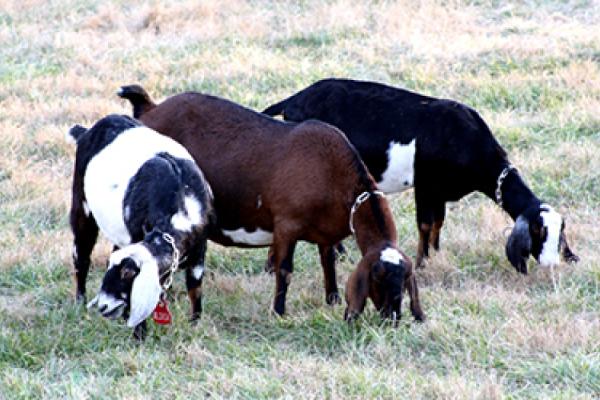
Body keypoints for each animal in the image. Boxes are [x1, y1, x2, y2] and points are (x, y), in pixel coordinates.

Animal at [67, 114, 214, 336]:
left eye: (128, 272)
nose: (103, 305)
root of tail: (87, 131)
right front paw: (140, 335)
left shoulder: (199, 248)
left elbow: (195, 287)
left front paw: (195, 324)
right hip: (81, 204)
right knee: (81, 255)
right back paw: (80, 302)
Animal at [117, 86, 424, 324]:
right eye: (378, 277)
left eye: (405, 280)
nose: (393, 318)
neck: (331, 170)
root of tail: (151, 110)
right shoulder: (287, 225)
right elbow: (285, 270)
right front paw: (278, 311)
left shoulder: (326, 232)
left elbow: (328, 263)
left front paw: (332, 299)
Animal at [264, 78, 580, 274]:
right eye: (538, 231)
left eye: (560, 232)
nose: (552, 263)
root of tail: (295, 99)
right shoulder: (426, 185)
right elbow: (426, 223)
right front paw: (421, 263)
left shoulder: (439, 191)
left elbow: (439, 222)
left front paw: (436, 254)